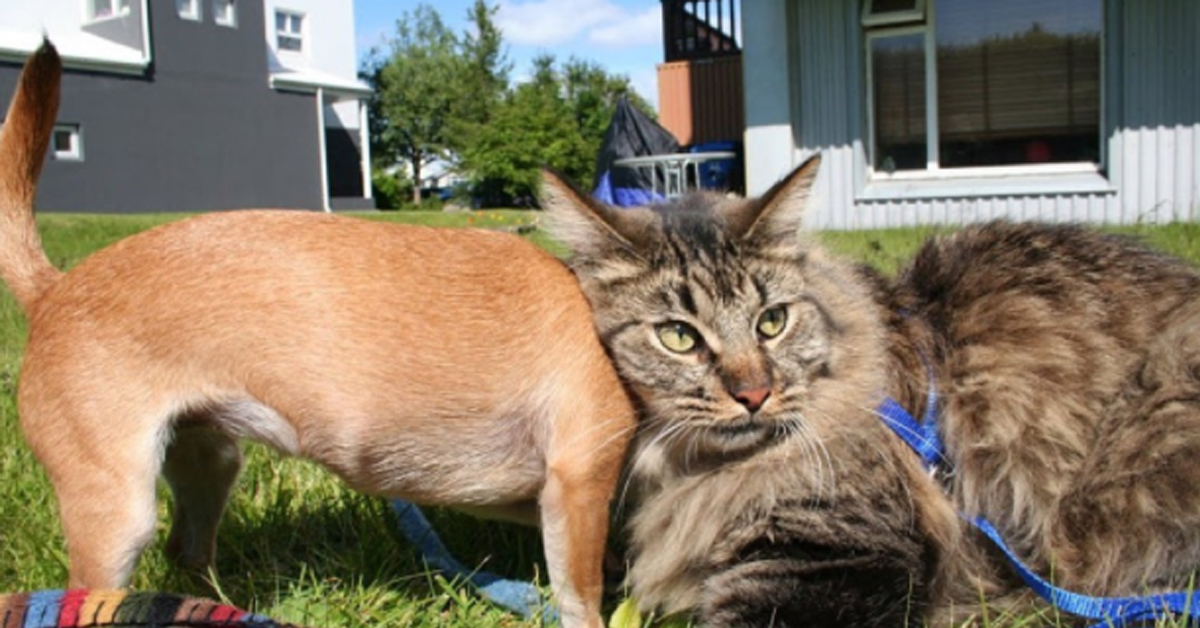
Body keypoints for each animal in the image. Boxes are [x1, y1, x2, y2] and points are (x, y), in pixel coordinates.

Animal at [0, 44, 638, 628]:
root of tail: (53, 290)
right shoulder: (578, 485)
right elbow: (581, 597)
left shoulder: (531, 496)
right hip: (118, 515)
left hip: (210, 460)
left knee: (187, 551)